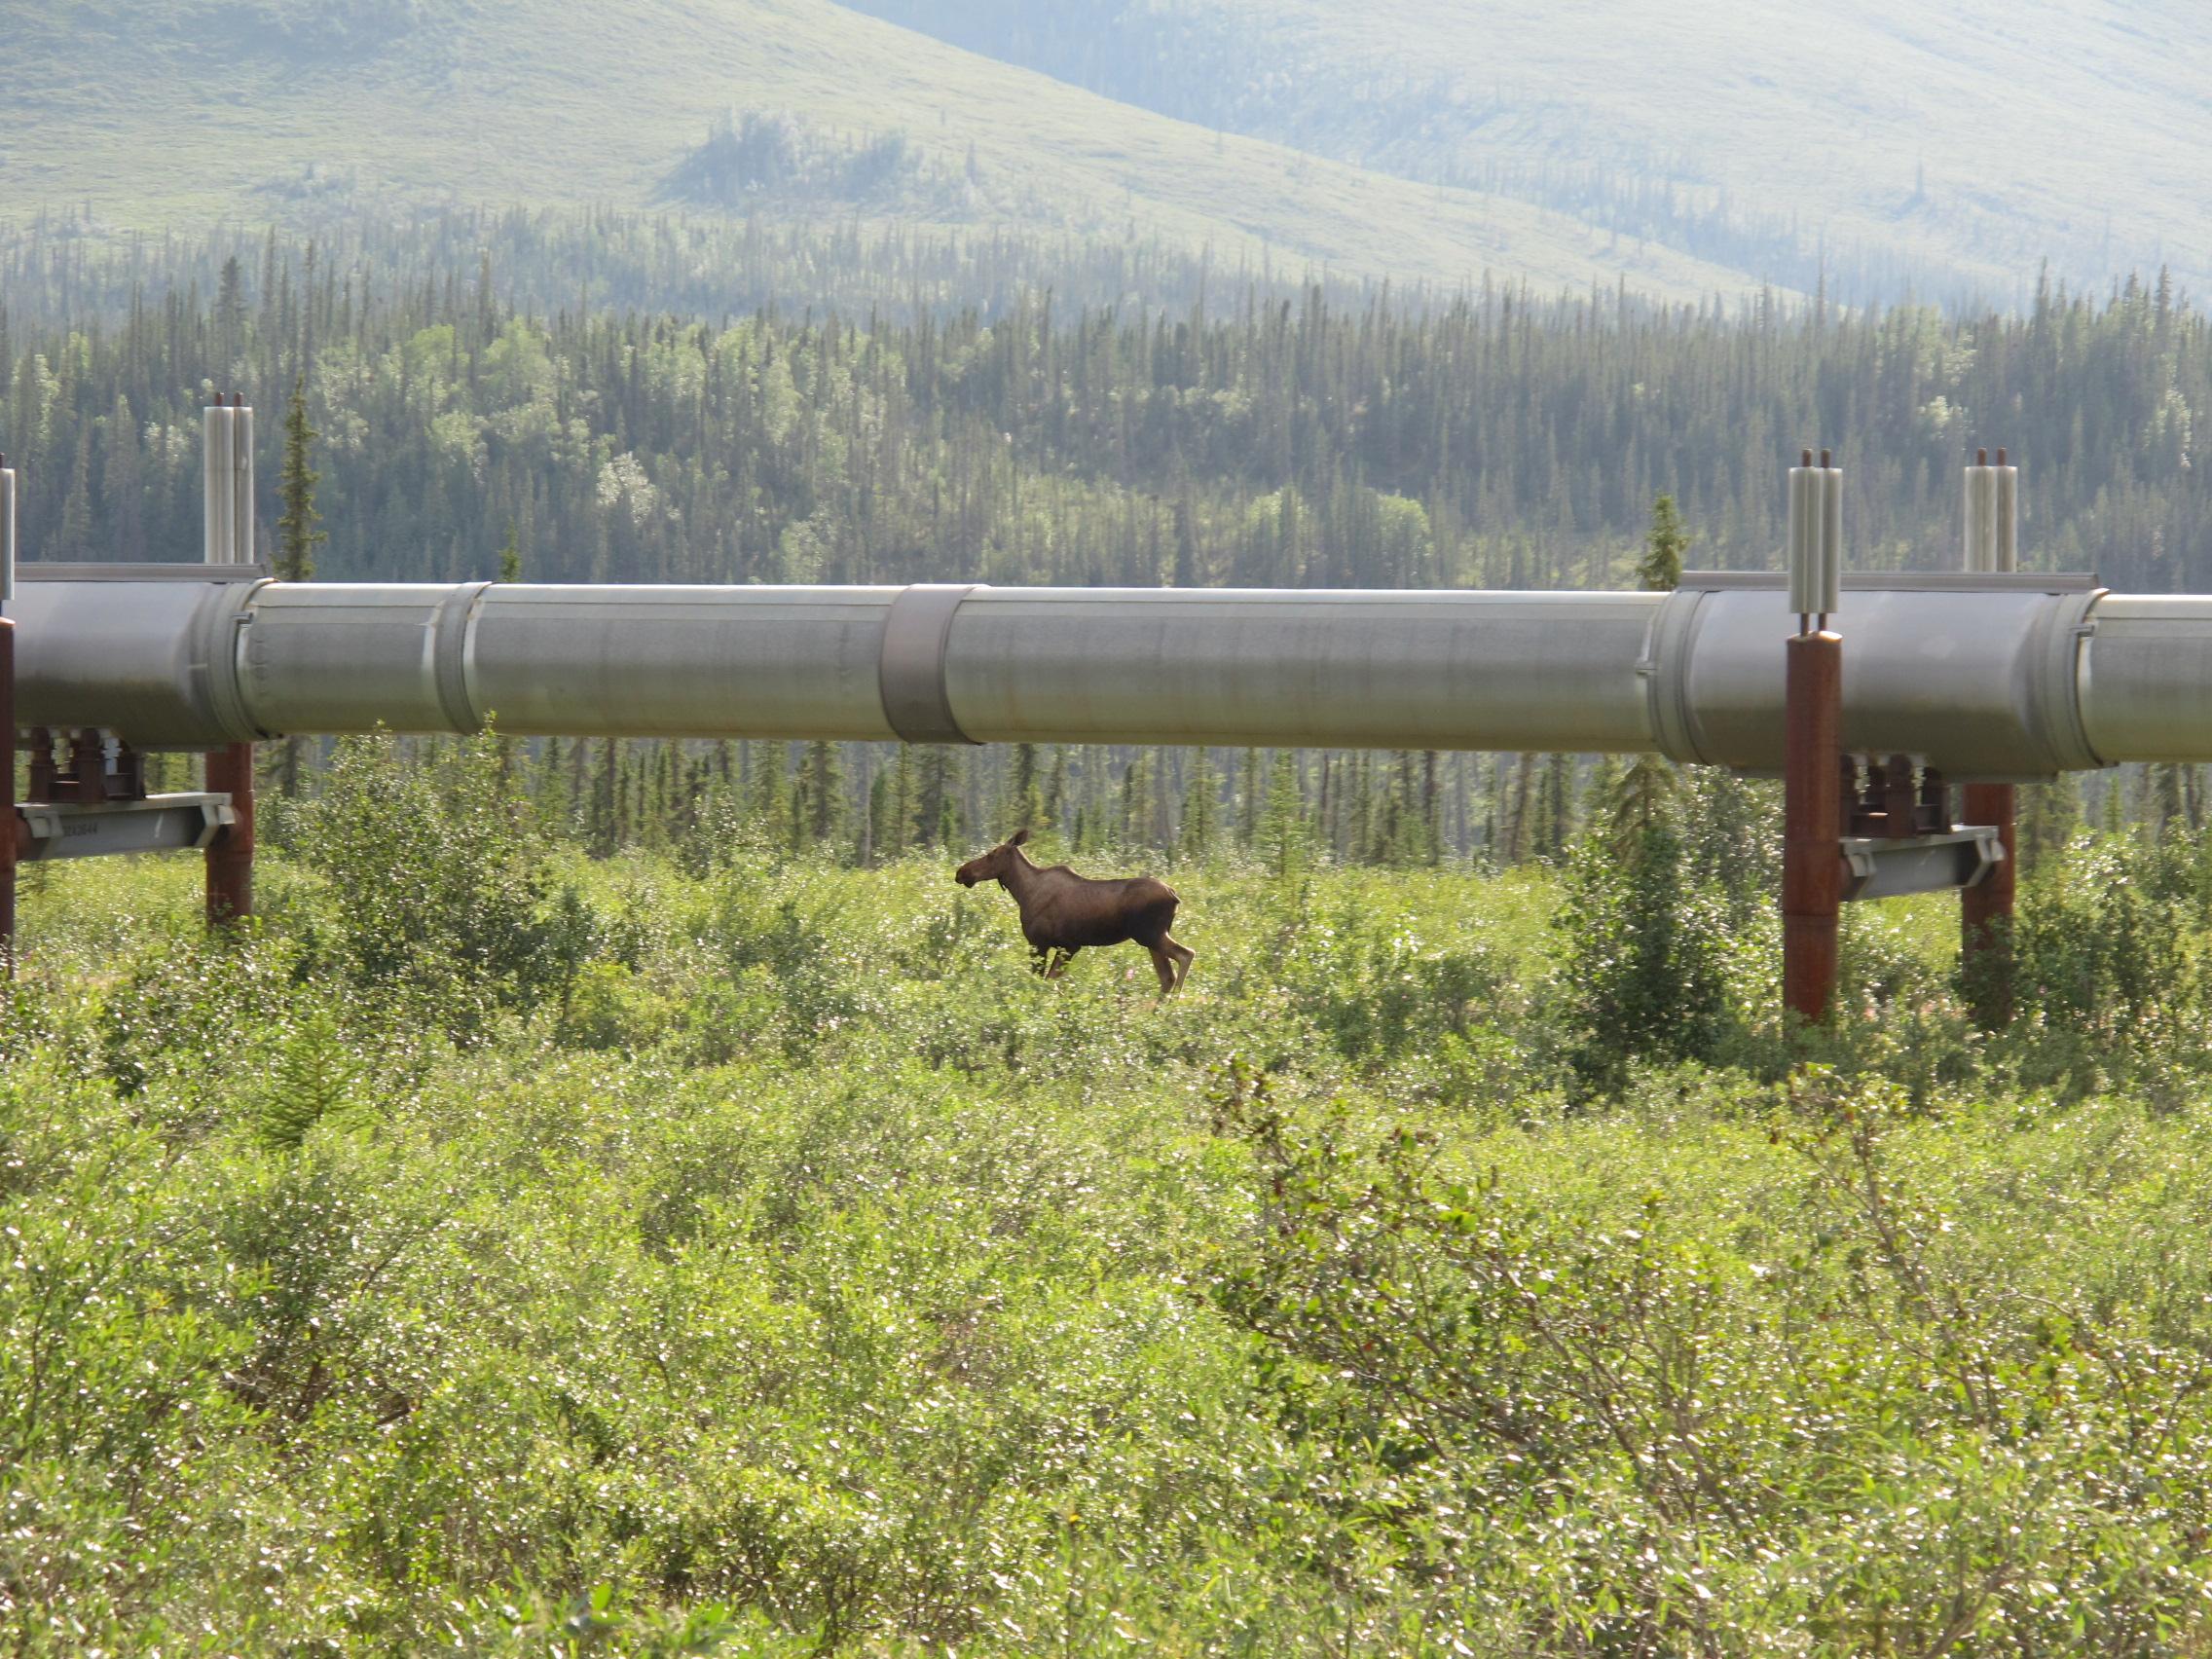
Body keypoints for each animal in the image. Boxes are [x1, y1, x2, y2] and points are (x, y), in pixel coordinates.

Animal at [950, 831, 1194, 999]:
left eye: (992, 854)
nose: (961, 872)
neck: (1023, 892)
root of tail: (1174, 896)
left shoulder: (1046, 943)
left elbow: (1043, 982)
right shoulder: (1067, 946)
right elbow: (1053, 983)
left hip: (1150, 934)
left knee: (1186, 955)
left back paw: (1173, 1006)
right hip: (1153, 938)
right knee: (1167, 976)